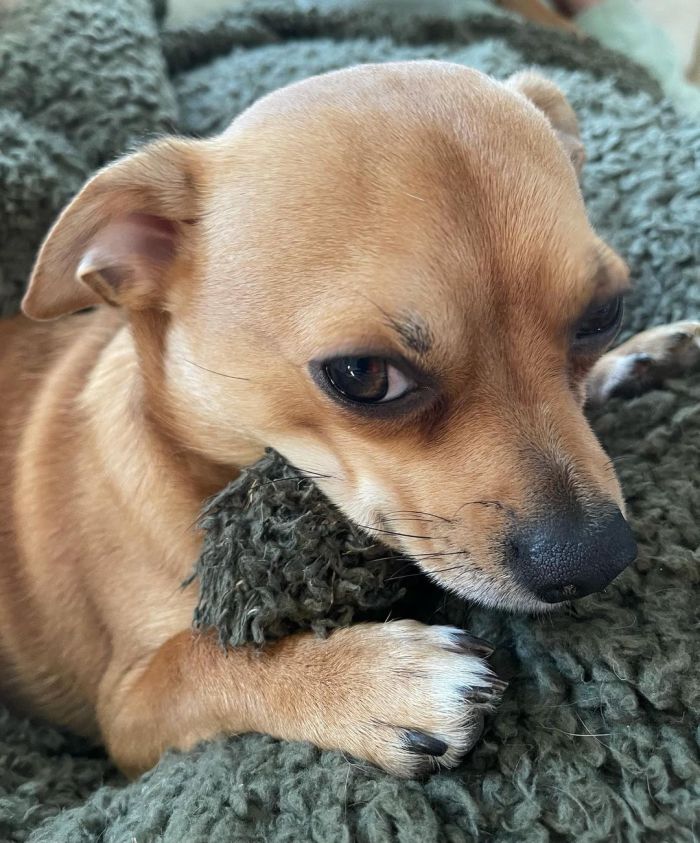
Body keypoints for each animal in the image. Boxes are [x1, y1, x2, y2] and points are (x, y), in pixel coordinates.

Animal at [1, 62, 700, 780]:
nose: (598, 560)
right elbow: (207, 657)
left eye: (604, 314)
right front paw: (376, 681)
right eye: (362, 374)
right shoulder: (127, 706)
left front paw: (633, 355)